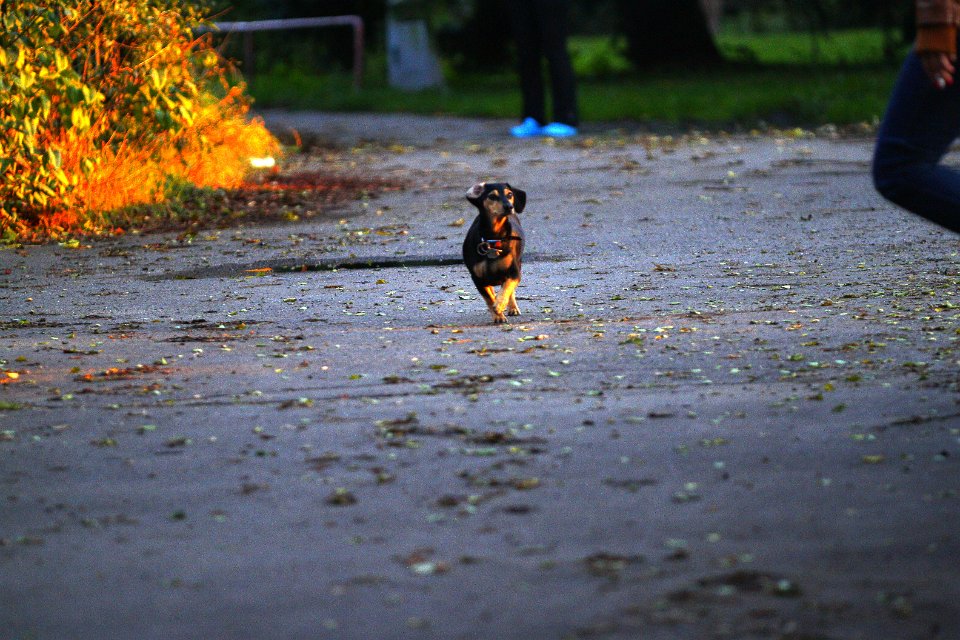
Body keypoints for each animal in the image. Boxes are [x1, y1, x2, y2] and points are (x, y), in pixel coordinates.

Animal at [462, 182, 526, 323]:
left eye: (510, 194)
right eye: (492, 196)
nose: (509, 207)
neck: (493, 238)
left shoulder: (514, 272)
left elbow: (507, 288)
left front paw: (500, 304)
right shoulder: (478, 279)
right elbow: (489, 298)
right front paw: (497, 314)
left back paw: (512, 308)